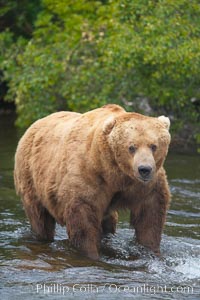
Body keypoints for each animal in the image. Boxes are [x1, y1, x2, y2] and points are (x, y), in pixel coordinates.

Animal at [14, 104, 171, 258]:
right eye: (131, 147)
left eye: (153, 146)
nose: (144, 169)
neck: (115, 173)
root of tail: (34, 124)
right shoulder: (89, 177)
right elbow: (84, 220)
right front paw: (91, 253)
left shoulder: (145, 186)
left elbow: (149, 217)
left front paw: (150, 250)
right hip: (30, 176)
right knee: (40, 218)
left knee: (109, 221)